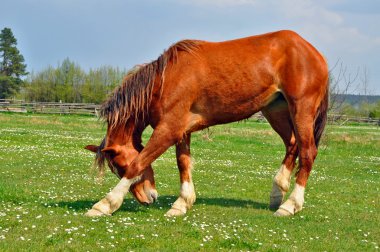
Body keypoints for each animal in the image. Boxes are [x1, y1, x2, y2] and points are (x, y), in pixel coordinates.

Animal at [84, 30, 328, 217]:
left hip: (301, 109)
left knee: (307, 152)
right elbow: (183, 163)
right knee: (292, 145)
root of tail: (313, 52)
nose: (148, 198)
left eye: (120, 167)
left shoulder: (168, 130)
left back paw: (290, 205)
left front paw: (105, 205)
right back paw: (277, 193)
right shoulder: (182, 131)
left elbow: (140, 163)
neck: (165, 80)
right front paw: (182, 204)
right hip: (275, 111)